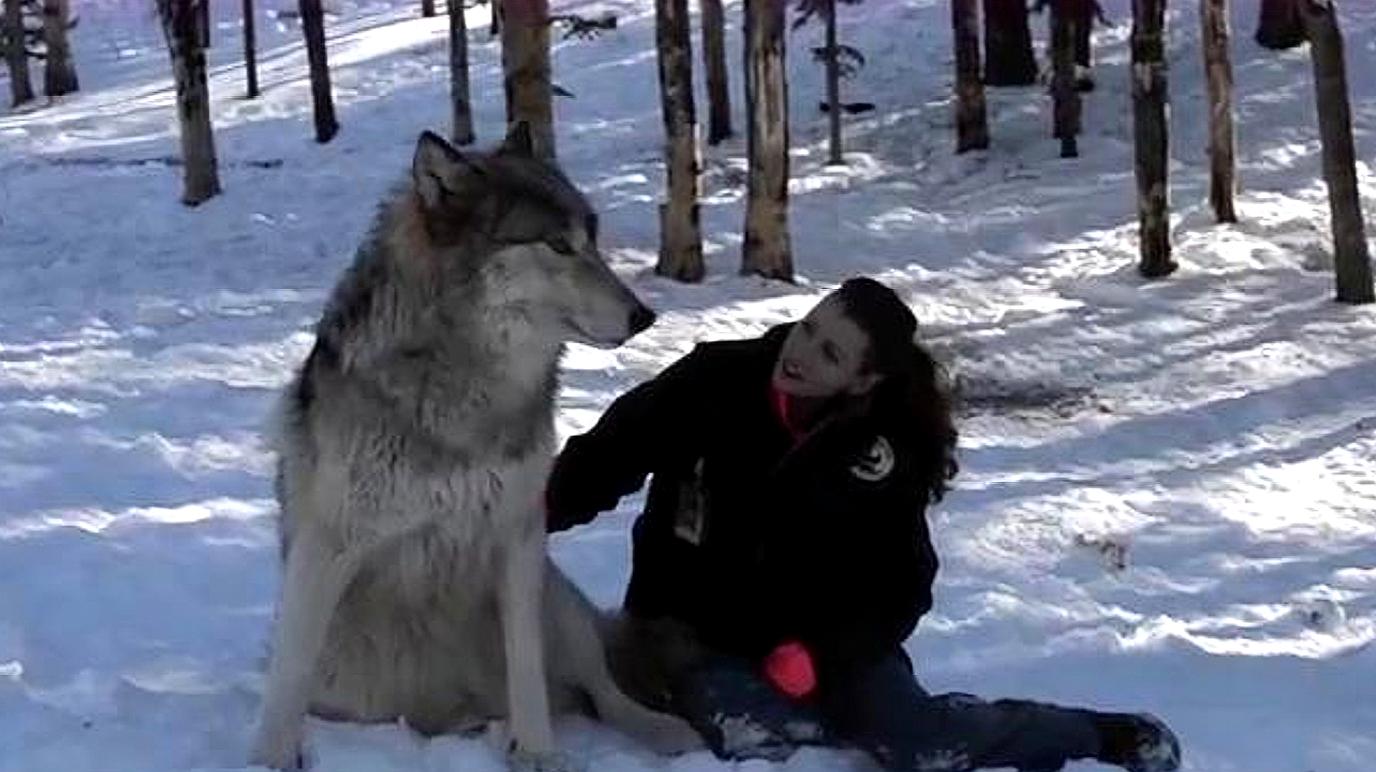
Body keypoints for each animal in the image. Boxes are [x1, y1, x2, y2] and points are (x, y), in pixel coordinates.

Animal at [247, 123, 704, 765]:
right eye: (557, 245)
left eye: (592, 238)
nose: (645, 315)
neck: (465, 393)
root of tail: (445, 710)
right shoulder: (328, 547)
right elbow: (286, 682)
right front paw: (270, 761)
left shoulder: (519, 537)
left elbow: (527, 673)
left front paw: (537, 758)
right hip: (346, 682)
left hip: (556, 598)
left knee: (599, 692)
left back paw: (660, 732)